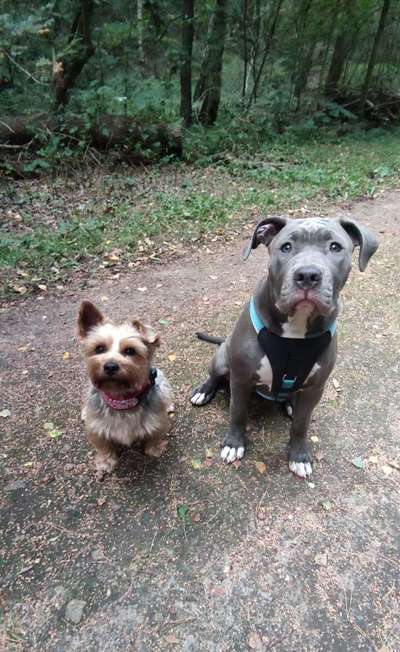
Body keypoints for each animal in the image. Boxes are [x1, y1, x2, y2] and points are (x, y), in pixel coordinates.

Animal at [77, 300, 173, 478]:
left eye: (130, 351)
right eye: (99, 348)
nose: (110, 366)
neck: (121, 399)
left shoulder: (158, 422)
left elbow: (155, 437)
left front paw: (155, 449)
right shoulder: (97, 429)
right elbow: (103, 446)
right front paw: (105, 462)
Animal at [191, 216, 378, 476]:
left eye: (335, 247)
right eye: (286, 247)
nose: (308, 275)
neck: (295, 332)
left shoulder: (315, 388)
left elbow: (301, 424)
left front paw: (299, 456)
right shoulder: (240, 377)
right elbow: (237, 412)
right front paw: (234, 444)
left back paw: (290, 403)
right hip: (222, 358)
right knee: (215, 376)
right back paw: (203, 391)